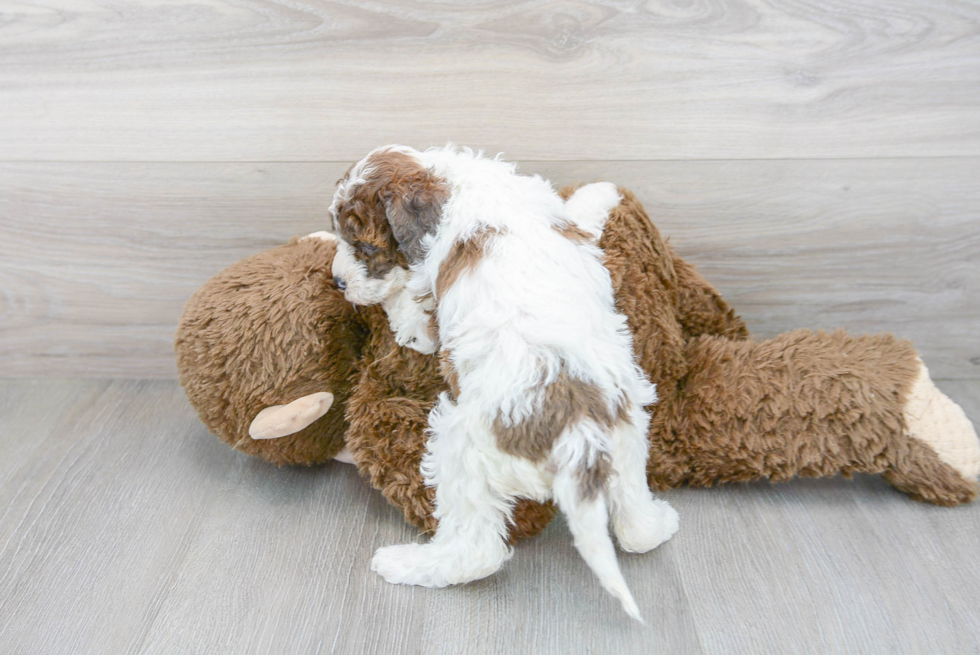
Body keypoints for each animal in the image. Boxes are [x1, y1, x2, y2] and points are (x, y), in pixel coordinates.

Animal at [328, 146, 672, 624]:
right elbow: (579, 216)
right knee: (634, 523)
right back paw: (659, 522)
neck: (451, 183)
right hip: (628, 438)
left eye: (364, 247)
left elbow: (408, 311)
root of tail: (576, 431)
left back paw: (408, 563)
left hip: (462, 450)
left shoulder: (426, 296)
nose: (338, 281)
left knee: (477, 549)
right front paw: (602, 191)